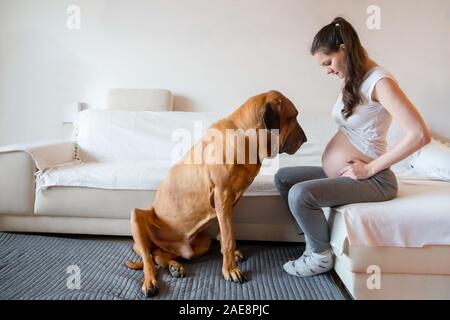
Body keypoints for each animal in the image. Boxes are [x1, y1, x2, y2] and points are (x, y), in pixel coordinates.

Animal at [126, 89, 308, 296]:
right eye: (293, 117)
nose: (305, 139)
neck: (246, 138)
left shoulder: (230, 202)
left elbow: (224, 232)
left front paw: (230, 256)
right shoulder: (223, 195)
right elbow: (229, 237)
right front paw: (230, 270)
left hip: (200, 242)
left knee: (159, 256)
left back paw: (174, 266)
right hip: (137, 217)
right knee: (148, 259)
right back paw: (150, 280)